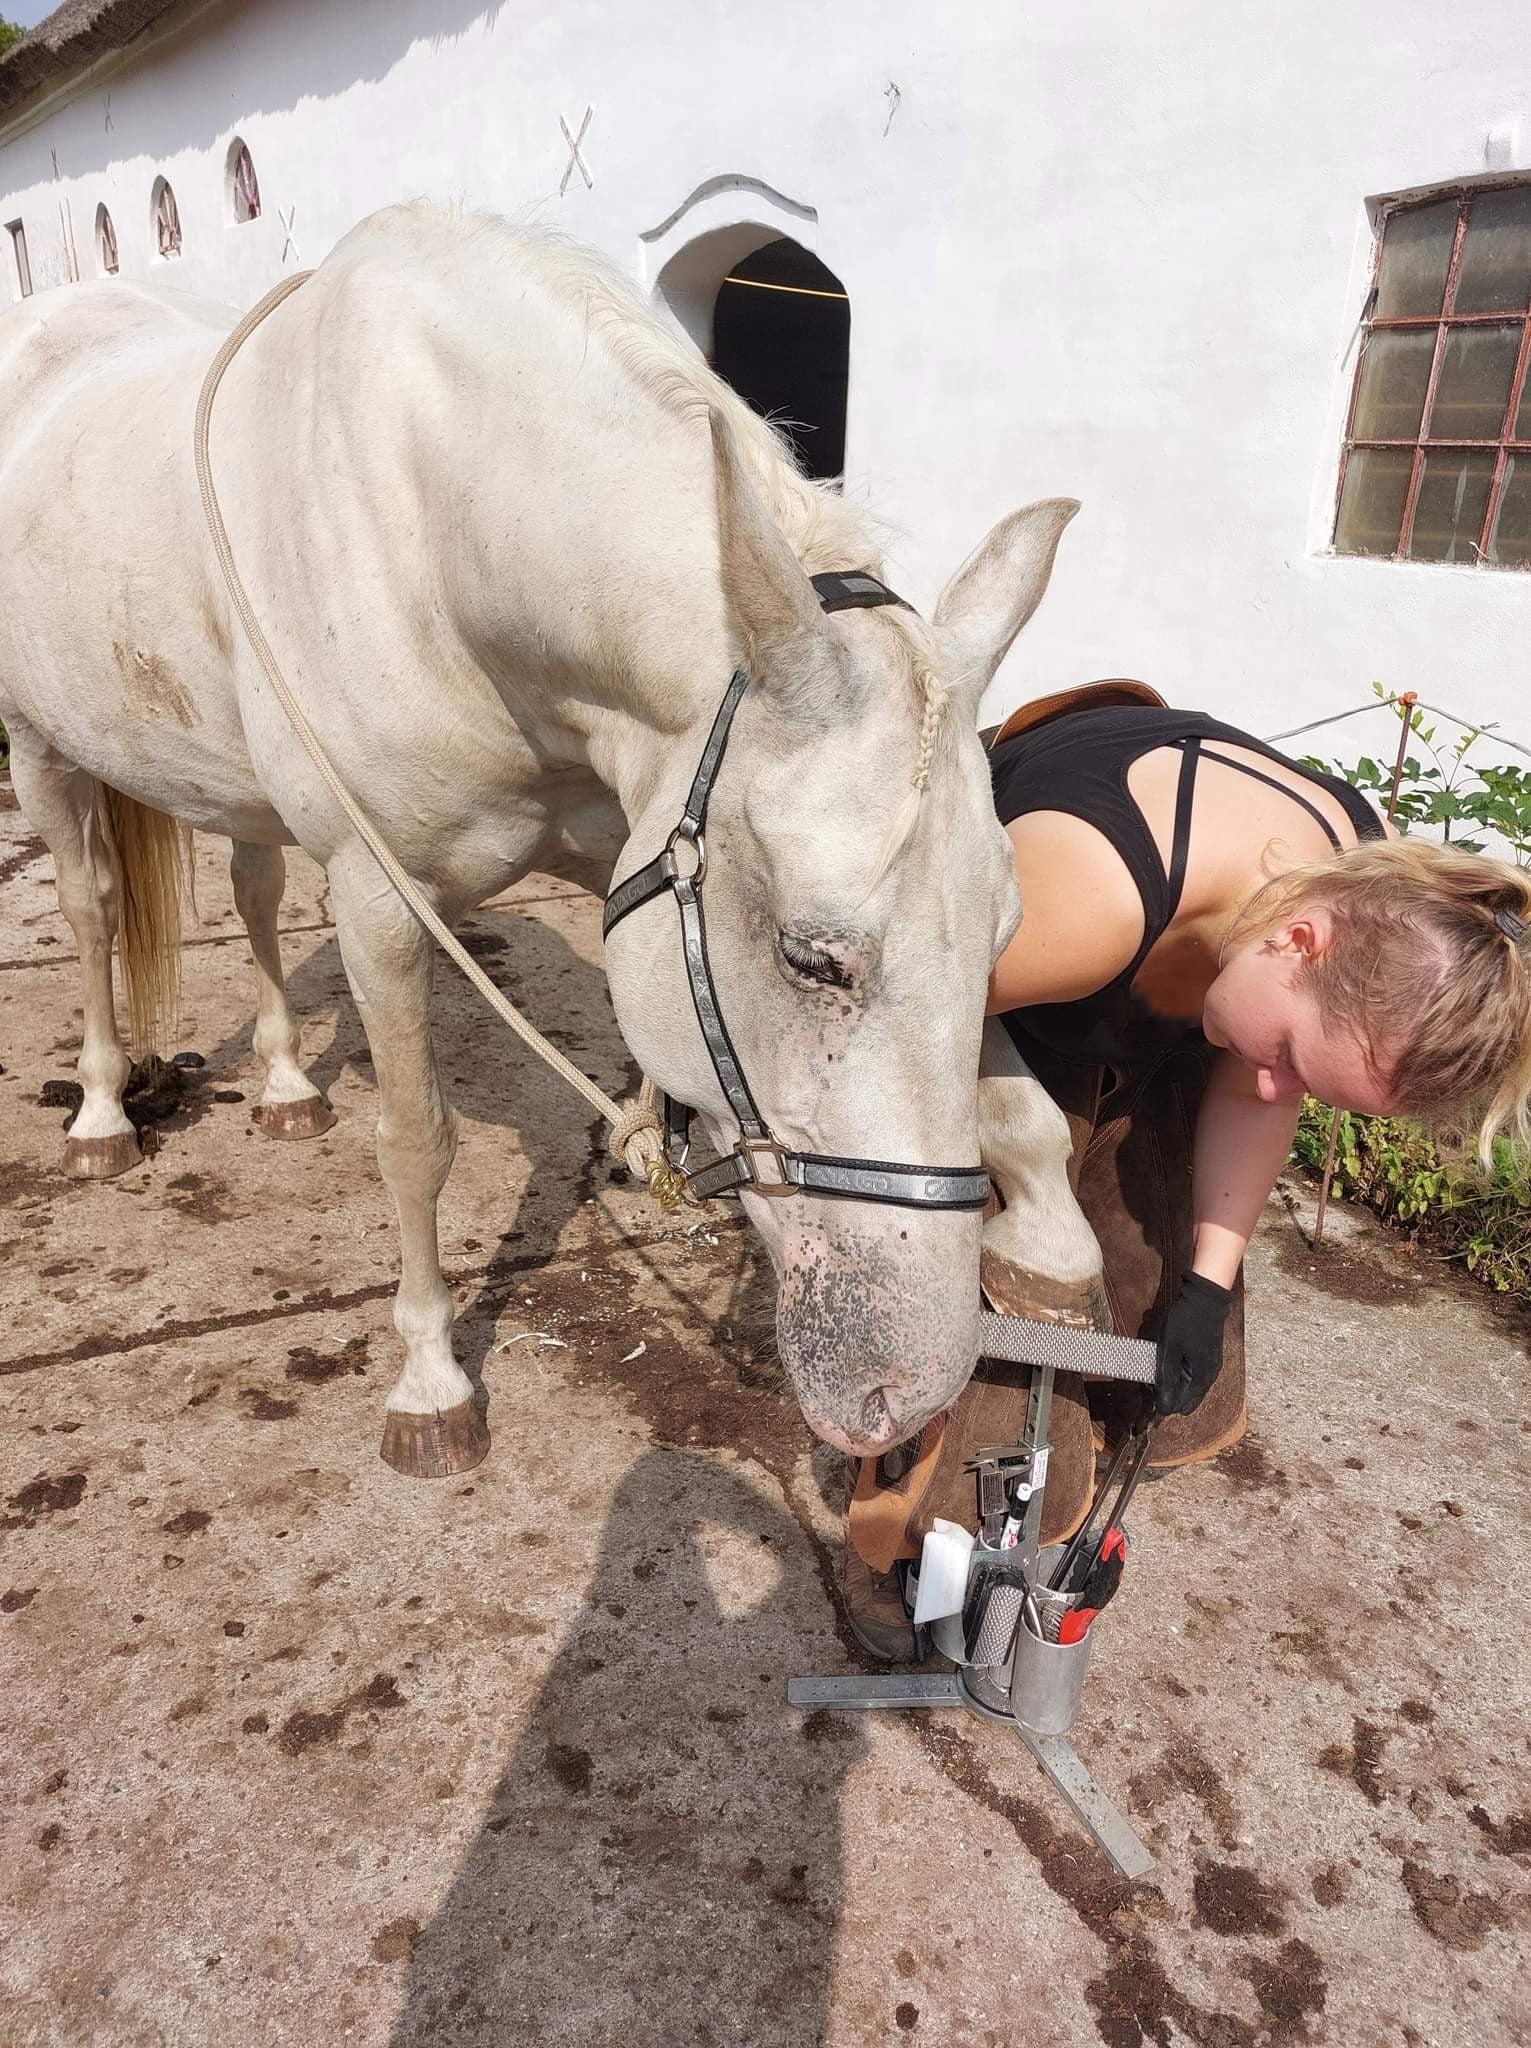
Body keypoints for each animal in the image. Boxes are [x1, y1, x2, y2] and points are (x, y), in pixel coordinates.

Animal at [0, 211, 1097, 1474]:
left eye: (1007, 932)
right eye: (810, 958)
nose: (902, 1395)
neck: (442, 529)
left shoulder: (614, 836)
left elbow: (1018, 1107)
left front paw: (1053, 1254)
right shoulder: (378, 896)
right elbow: (415, 1139)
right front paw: (429, 1384)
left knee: (257, 886)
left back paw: (281, 1082)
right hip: (39, 745)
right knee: (87, 906)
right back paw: (99, 1114)